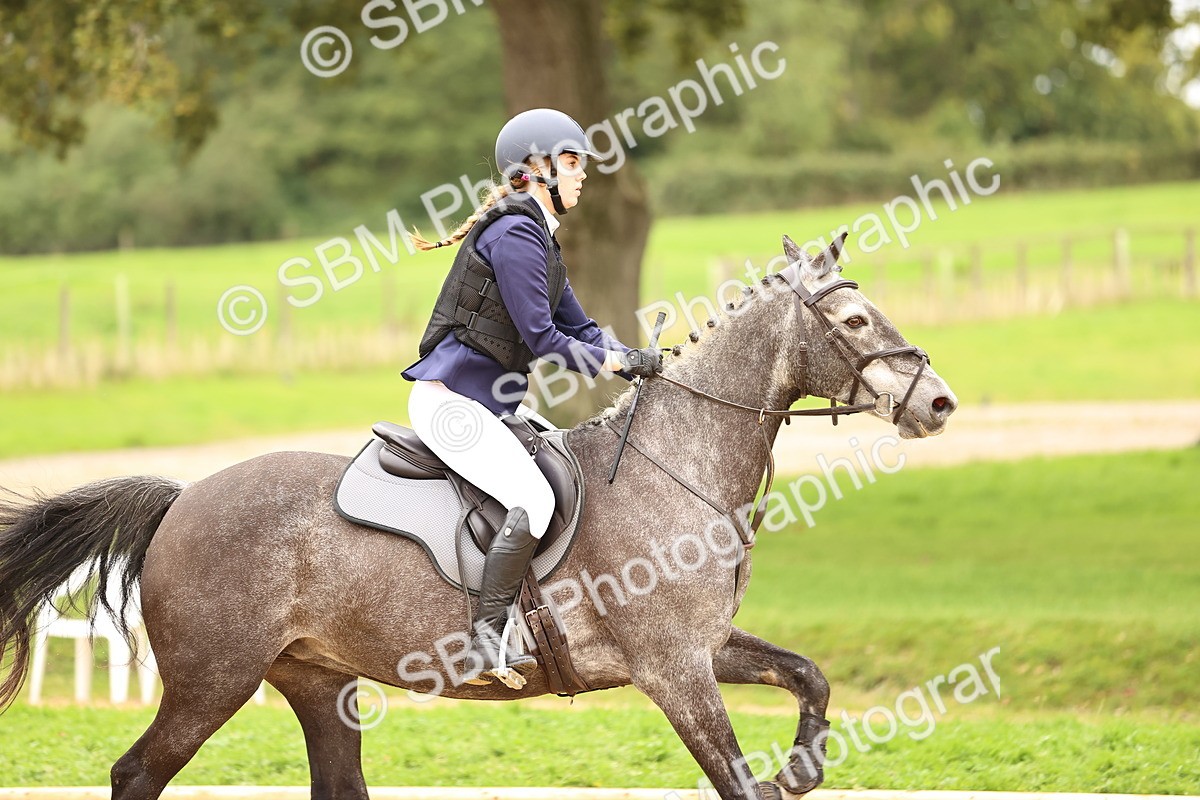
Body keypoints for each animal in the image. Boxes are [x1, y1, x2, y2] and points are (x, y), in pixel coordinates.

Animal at [0, 233, 956, 800]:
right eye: (854, 320)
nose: (940, 403)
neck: (679, 465)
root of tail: (183, 498)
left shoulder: (705, 646)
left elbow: (810, 676)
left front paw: (805, 764)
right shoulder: (675, 669)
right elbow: (737, 780)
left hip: (316, 680)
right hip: (213, 679)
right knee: (135, 772)